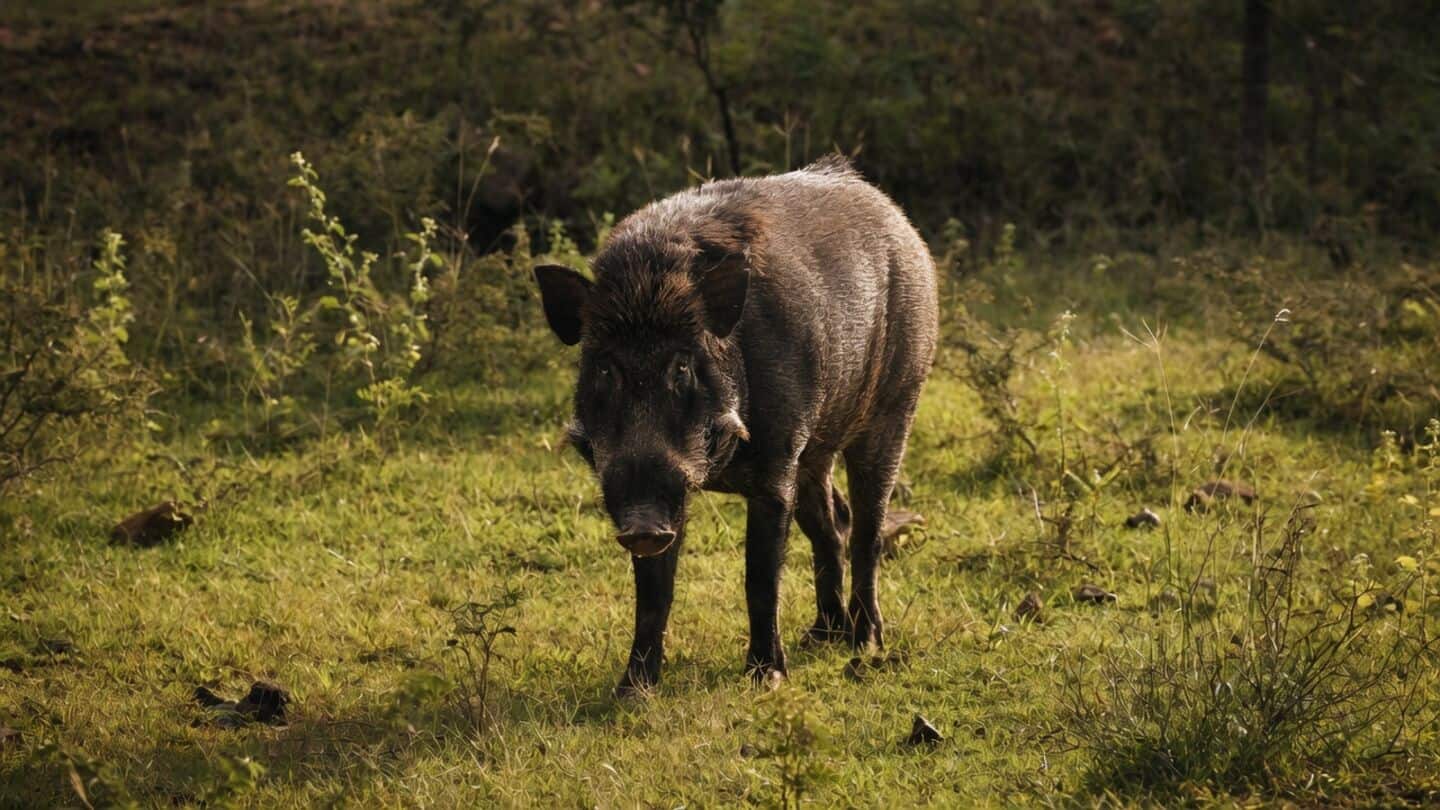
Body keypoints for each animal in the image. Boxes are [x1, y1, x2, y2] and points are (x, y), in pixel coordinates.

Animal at [534, 155, 937, 694]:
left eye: (682, 366)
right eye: (604, 369)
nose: (642, 525)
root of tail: (900, 221)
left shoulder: (776, 460)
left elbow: (760, 575)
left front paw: (767, 679)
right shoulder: (675, 489)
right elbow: (653, 592)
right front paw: (631, 689)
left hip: (896, 404)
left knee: (867, 530)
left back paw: (865, 642)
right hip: (815, 450)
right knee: (833, 524)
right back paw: (821, 637)